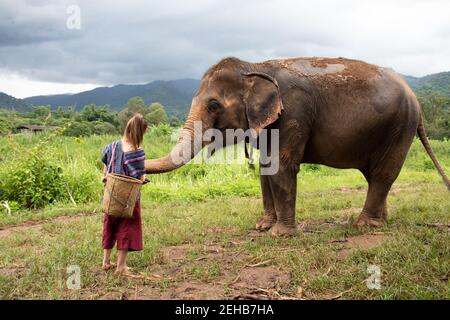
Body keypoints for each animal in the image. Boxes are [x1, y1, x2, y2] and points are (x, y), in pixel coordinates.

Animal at [145, 56, 450, 236]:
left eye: (213, 105)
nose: (143, 179)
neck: (256, 67)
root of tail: (416, 100)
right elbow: (265, 170)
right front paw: (262, 227)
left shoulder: (294, 111)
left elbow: (282, 167)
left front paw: (280, 235)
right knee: (375, 176)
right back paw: (380, 220)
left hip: (400, 127)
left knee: (384, 174)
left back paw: (364, 225)